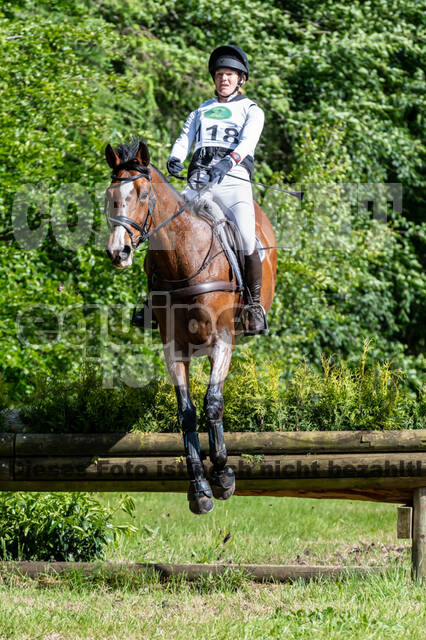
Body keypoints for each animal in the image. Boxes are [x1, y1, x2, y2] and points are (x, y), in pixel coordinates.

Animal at [105, 138, 277, 514]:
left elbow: (213, 402)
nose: (118, 252)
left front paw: (223, 476)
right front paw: (200, 489)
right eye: (110, 195)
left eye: (142, 194)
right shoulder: (174, 348)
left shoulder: (222, 341)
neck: (183, 258)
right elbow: (186, 413)